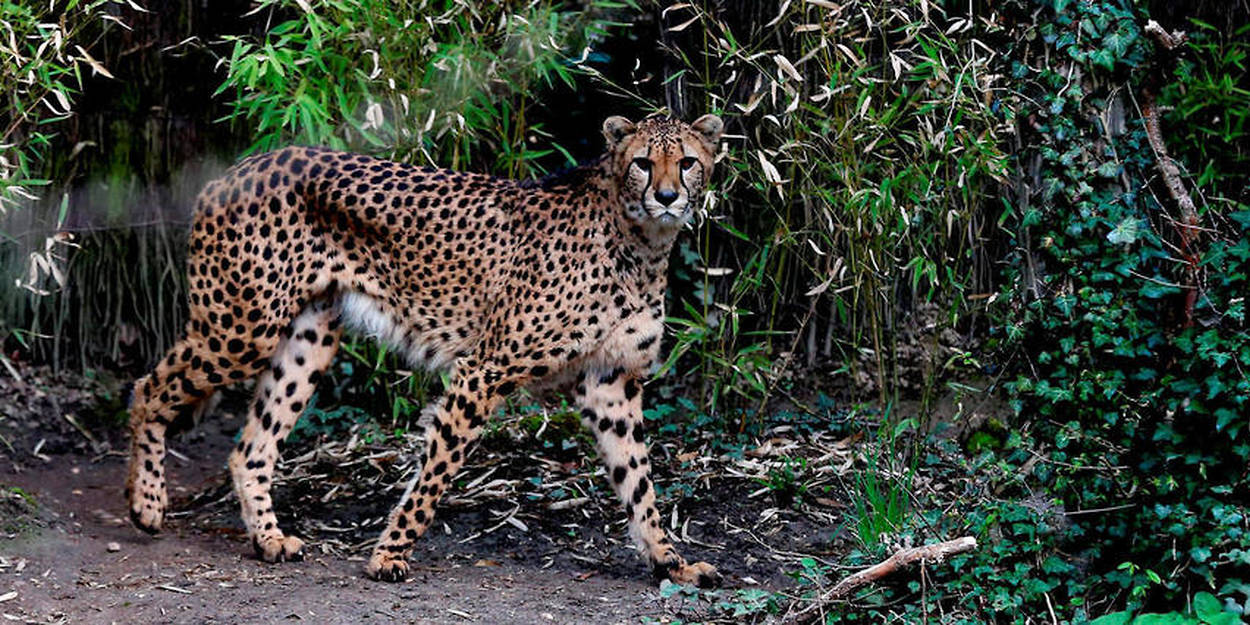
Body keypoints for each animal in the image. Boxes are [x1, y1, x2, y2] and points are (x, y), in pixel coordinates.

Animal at [124, 115, 725, 587]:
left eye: (687, 162)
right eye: (643, 162)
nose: (667, 197)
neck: (641, 242)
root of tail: (239, 168)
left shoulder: (612, 383)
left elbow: (640, 483)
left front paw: (671, 563)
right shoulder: (485, 370)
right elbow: (436, 471)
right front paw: (388, 555)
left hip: (307, 339)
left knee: (250, 448)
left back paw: (269, 539)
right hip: (242, 328)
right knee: (148, 387)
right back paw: (146, 502)